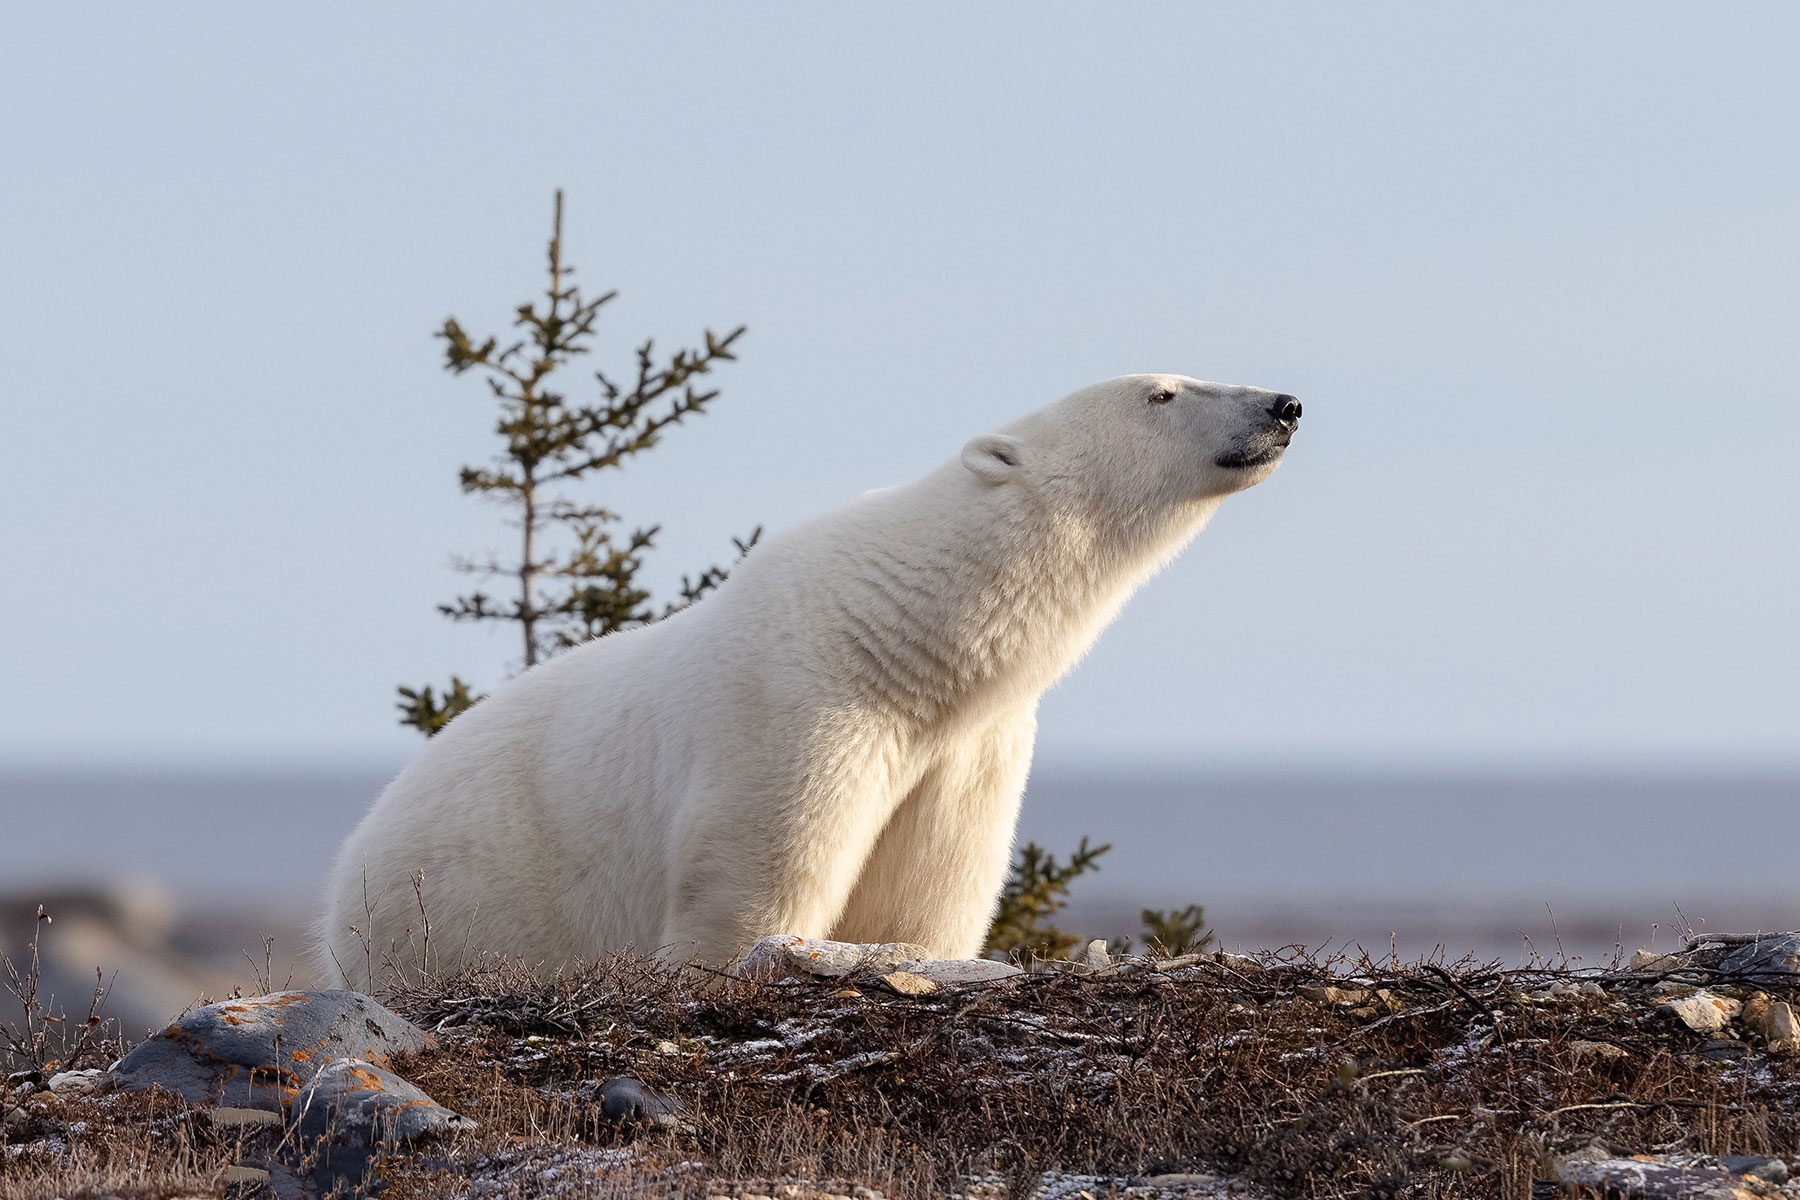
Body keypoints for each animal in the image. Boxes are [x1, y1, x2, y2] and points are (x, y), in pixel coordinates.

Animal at [320, 376, 1296, 985]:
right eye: (1161, 390)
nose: (1283, 404)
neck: (905, 634)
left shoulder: (967, 748)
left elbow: (930, 893)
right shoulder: (800, 704)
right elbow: (755, 879)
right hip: (452, 909)